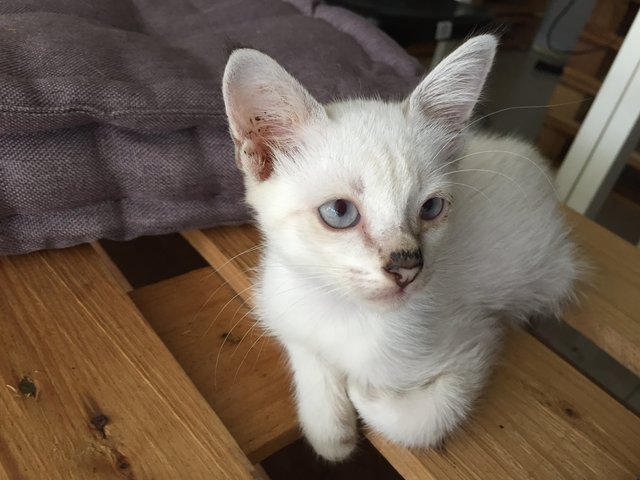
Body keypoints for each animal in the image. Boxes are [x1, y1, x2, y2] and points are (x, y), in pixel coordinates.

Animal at [222, 33, 576, 462]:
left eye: (432, 207)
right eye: (339, 211)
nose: (407, 265)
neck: (343, 311)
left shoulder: (477, 338)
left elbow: (422, 421)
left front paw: (363, 394)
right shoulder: (282, 303)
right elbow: (307, 349)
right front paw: (329, 426)